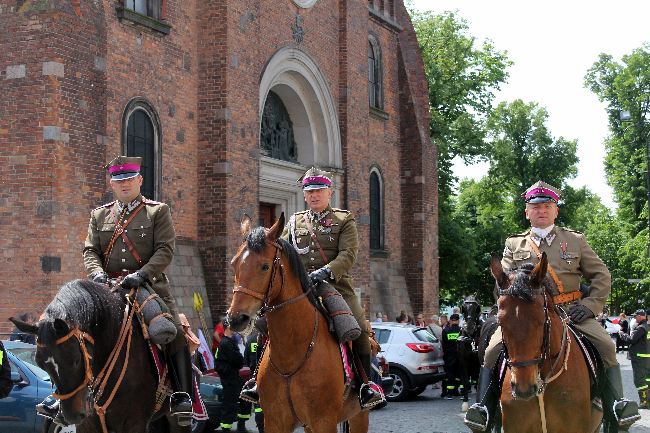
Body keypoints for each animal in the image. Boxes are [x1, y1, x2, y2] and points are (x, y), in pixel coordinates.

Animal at [225, 214, 368, 432]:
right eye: (234, 264)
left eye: (265, 266)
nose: (236, 319)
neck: (292, 351)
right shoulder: (275, 421)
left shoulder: (324, 421)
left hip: (359, 415)